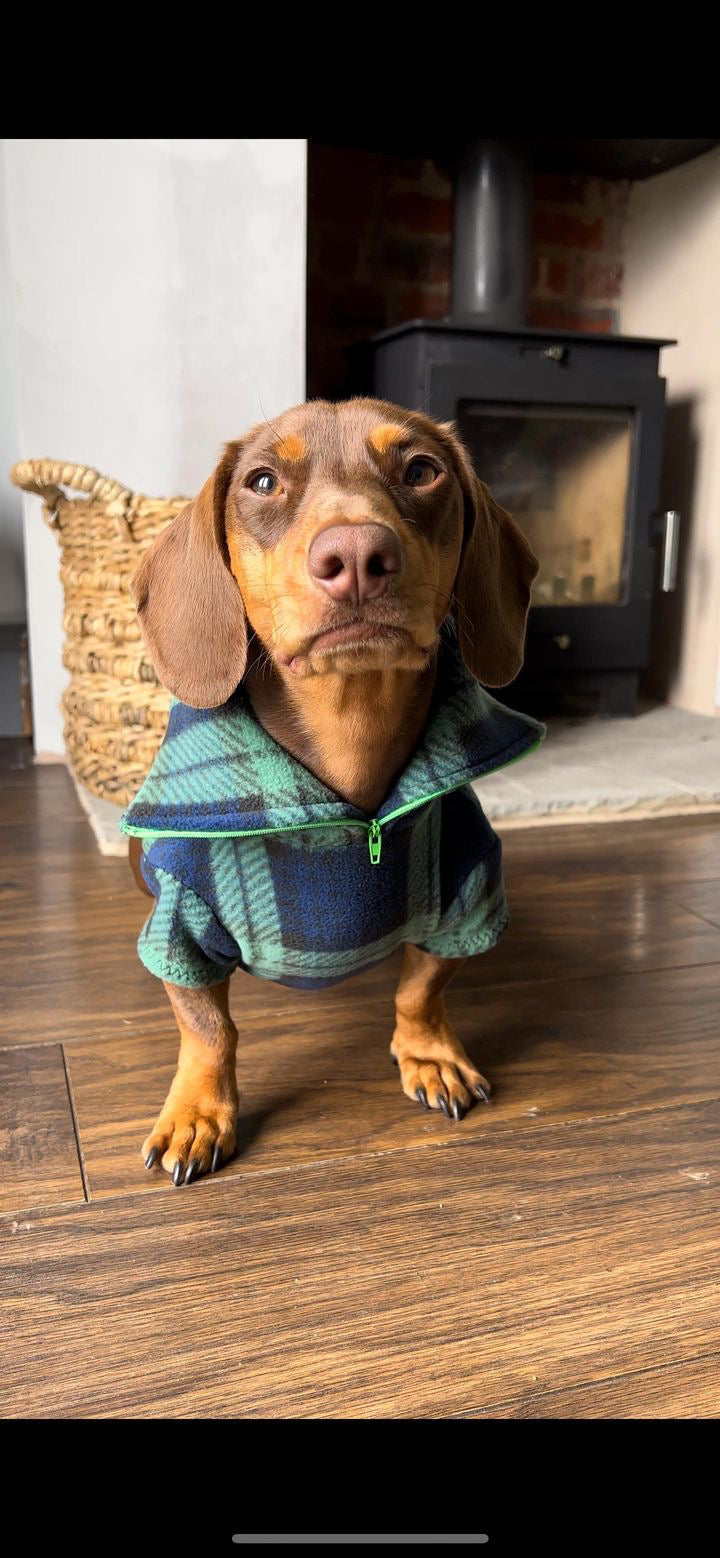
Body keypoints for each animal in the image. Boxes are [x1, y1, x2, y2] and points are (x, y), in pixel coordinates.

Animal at [125, 398, 539, 1177]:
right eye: (261, 481)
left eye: (422, 470)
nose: (354, 559)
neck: (352, 748)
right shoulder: (183, 923)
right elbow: (208, 1028)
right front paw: (197, 1113)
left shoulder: (467, 893)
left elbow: (422, 988)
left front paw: (429, 1054)